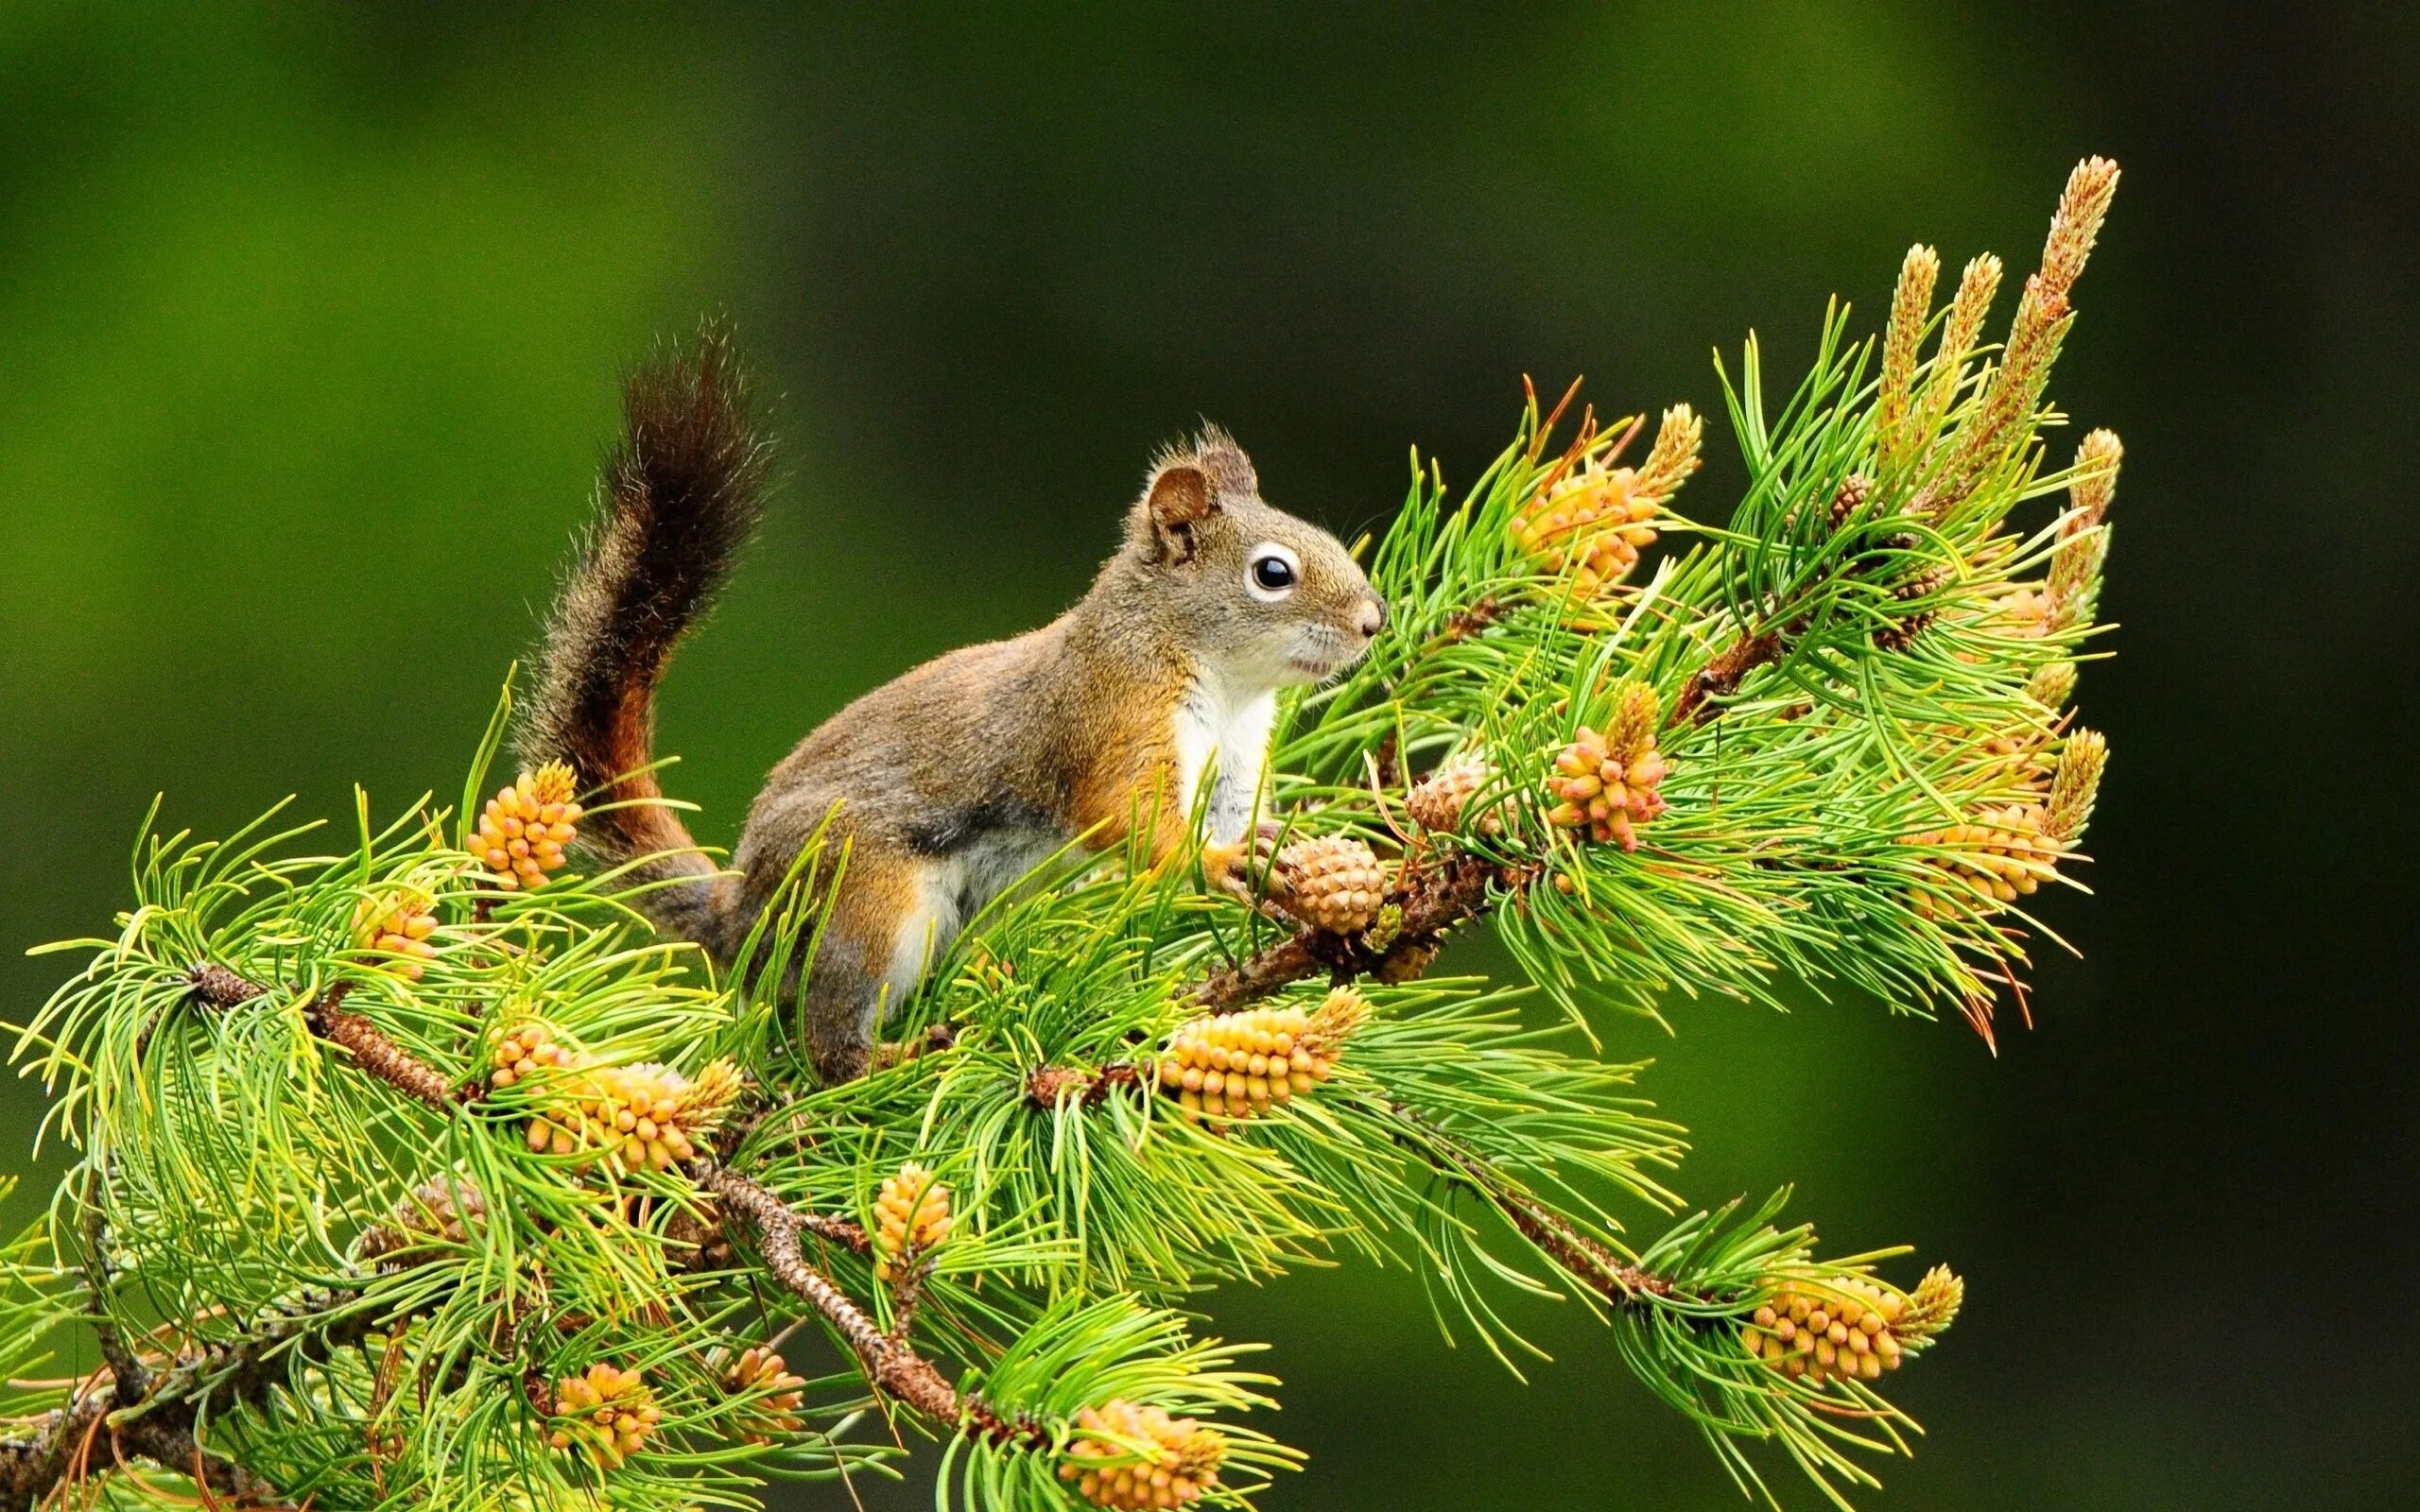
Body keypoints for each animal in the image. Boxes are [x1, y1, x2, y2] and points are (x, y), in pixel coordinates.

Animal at [529, 334, 1403, 1078]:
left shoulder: (1233, 760)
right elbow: (1129, 816)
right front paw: (1220, 863)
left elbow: (1229, 819)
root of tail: (741, 912)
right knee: (827, 1041)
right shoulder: (1115, 716)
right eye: (1273, 573)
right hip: (868, 902)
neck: (1225, 684)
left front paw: (1284, 864)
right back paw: (894, 1058)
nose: (1373, 620)